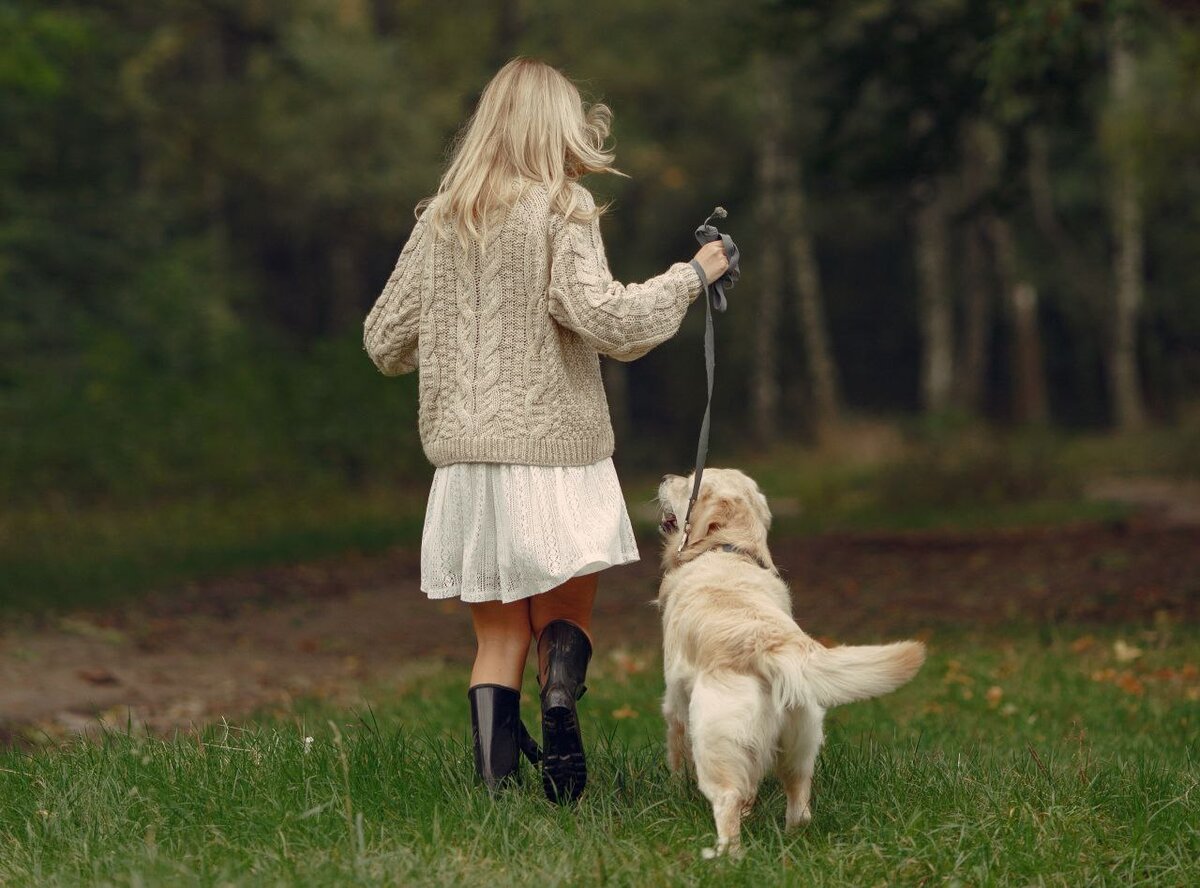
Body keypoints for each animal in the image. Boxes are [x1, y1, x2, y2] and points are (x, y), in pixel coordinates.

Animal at [657, 468, 926, 854]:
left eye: (689, 482)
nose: (665, 477)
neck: (729, 549)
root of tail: (774, 648)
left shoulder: (675, 702)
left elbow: (677, 754)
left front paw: (675, 791)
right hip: (800, 742)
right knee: (799, 807)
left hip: (715, 740)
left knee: (728, 802)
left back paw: (723, 854)